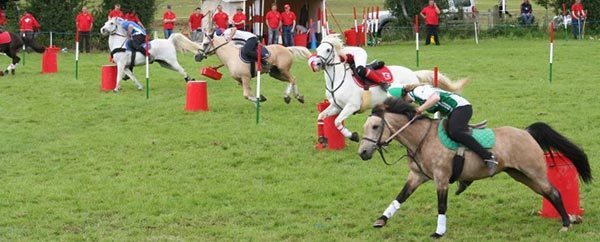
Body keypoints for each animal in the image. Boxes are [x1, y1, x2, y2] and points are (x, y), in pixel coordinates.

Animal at [310, 34, 468, 145]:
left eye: (328, 49)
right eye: (317, 49)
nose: (316, 64)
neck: (336, 80)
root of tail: (413, 73)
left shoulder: (351, 106)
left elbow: (337, 122)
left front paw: (353, 136)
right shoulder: (336, 106)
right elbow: (321, 117)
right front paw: (322, 139)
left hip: (412, 98)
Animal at [356, 97, 592, 237]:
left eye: (375, 126)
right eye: (366, 126)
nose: (363, 153)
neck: (422, 139)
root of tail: (527, 133)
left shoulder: (441, 178)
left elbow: (442, 206)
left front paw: (439, 232)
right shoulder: (416, 176)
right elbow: (400, 197)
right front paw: (381, 220)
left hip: (533, 171)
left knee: (554, 192)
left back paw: (566, 223)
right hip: (521, 175)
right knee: (547, 193)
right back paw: (568, 219)